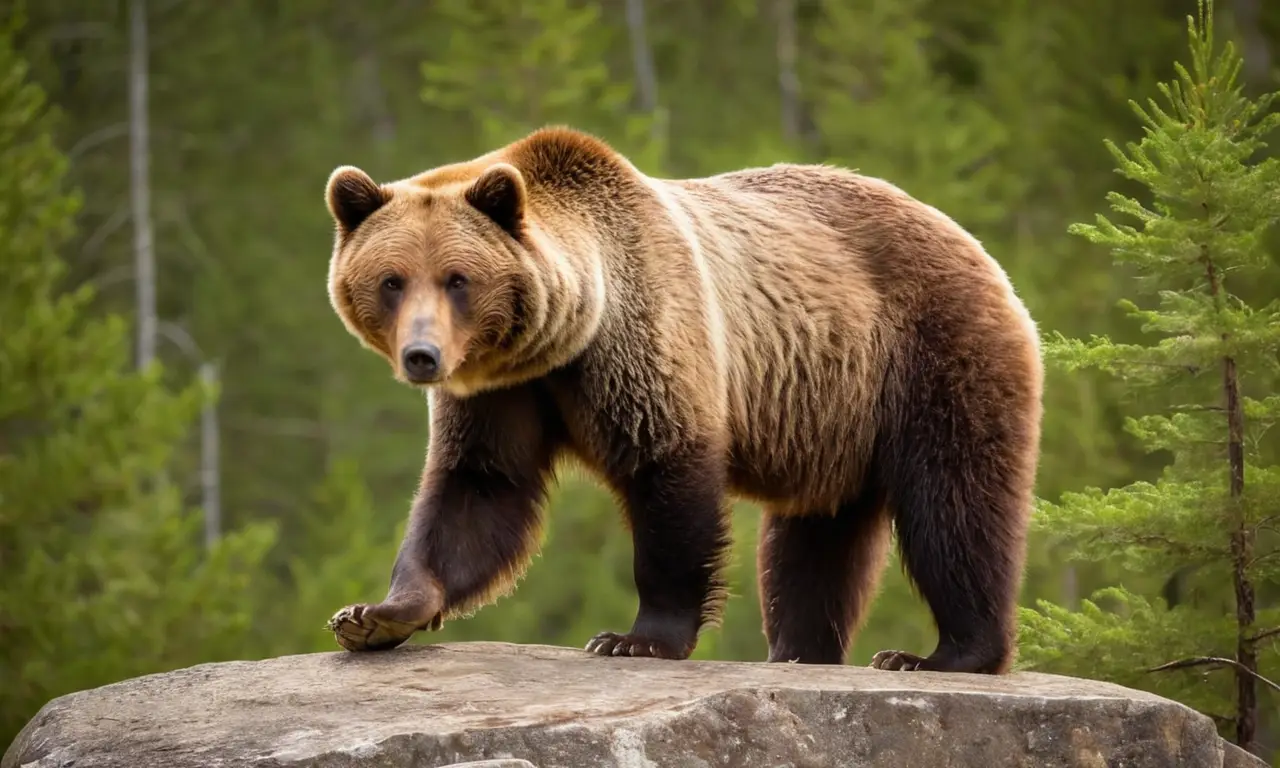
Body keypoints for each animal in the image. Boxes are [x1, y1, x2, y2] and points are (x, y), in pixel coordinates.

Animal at [321, 125, 1043, 674]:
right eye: (391, 280)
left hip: (931, 352)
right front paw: (373, 615)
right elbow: (478, 489)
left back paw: (941, 654)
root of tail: (974, 243)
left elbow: (666, 474)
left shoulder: (647, 337)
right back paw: (799, 651)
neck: (562, 340)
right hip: (836, 412)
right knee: (814, 538)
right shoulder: (503, 393)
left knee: (953, 502)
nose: (423, 356)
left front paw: (636, 637)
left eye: (457, 279)